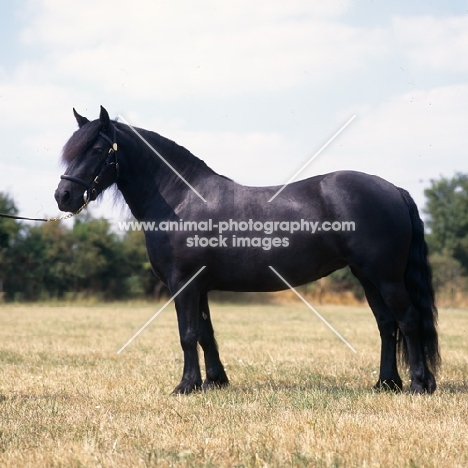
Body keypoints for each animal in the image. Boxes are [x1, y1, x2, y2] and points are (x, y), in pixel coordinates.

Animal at [54, 107, 438, 394]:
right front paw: (214, 382)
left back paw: (419, 385)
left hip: (386, 277)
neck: (180, 199)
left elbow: (187, 334)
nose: (63, 196)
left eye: (97, 150)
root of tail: (394, 189)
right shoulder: (199, 287)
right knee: (387, 324)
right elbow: (206, 333)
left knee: (408, 319)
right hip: (367, 276)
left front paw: (185, 386)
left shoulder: (183, 285)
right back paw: (386, 383)